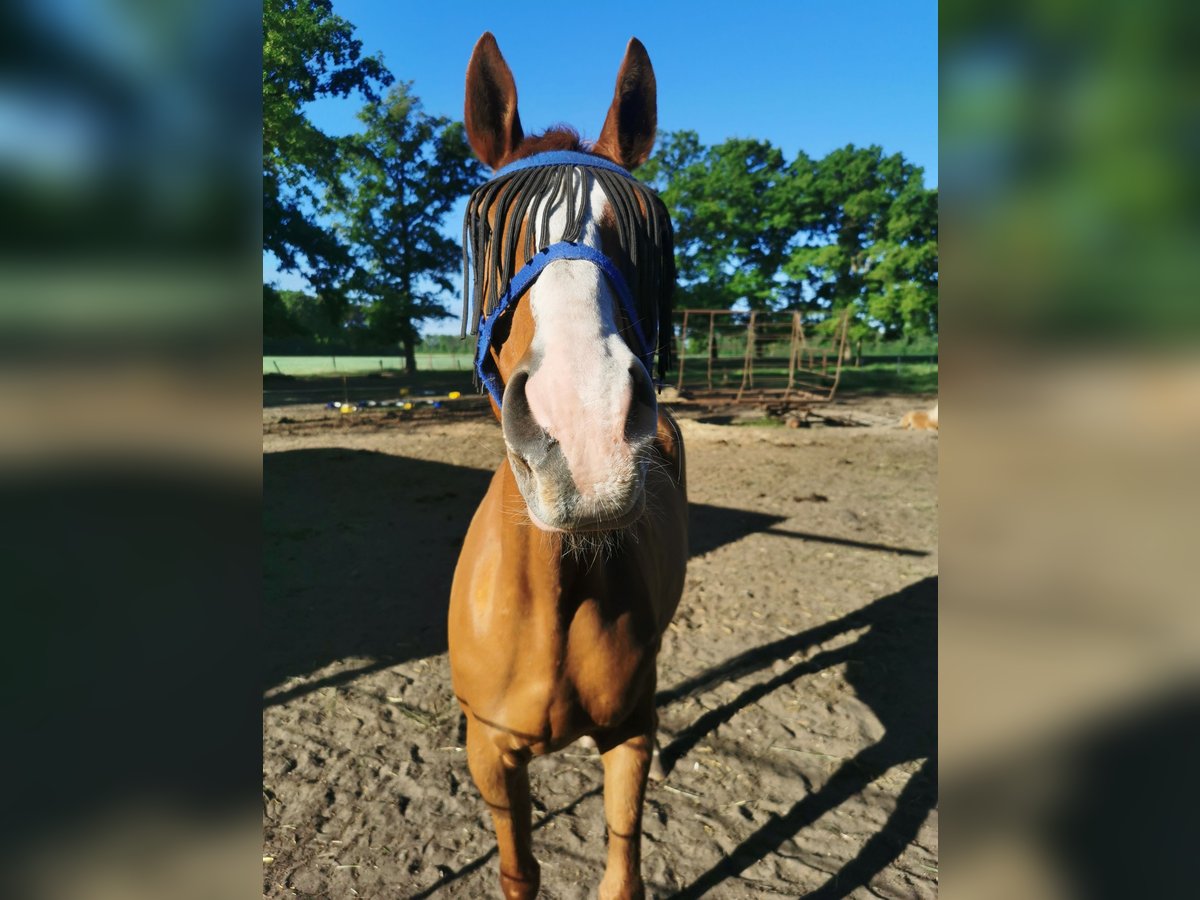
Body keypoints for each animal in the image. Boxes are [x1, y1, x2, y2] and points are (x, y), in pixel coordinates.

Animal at [448, 33, 688, 900]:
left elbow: (623, 859)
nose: (585, 430)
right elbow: (519, 869)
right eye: (488, 230)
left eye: (646, 234)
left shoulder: (629, 735)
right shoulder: (490, 751)